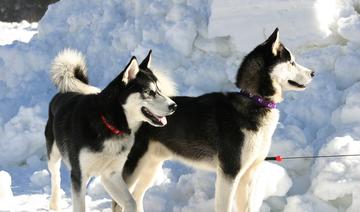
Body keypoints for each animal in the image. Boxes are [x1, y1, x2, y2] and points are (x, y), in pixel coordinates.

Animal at [45, 49, 177, 210]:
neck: (109, 123)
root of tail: (63, 93)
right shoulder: (79, 175)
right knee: (55, 176)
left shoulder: (111, 175)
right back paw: (54, 204)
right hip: (53, 155)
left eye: (159, 89)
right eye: (148, 91)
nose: (174, 106)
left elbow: (130, 202)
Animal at [113, 28, 316, 212]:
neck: (255, 100)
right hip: (132, 167)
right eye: (291, 62)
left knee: (137, 196)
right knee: (118, 203)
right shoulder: (229, 173)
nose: (313, 73)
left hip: (151, 165)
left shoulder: (248, 175)